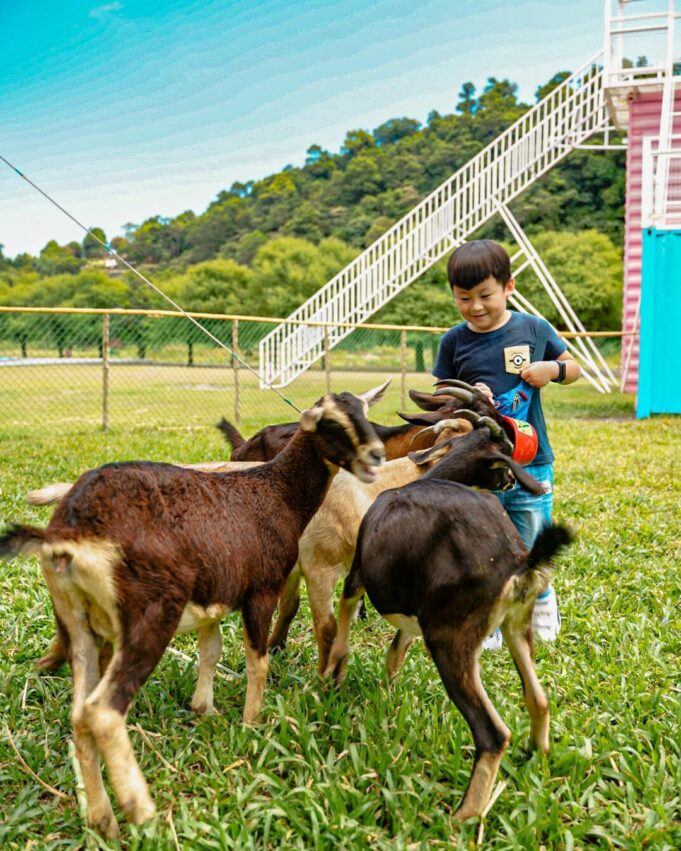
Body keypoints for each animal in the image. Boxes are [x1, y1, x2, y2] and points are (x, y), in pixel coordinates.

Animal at [322, 466, 572, 824]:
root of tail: (515, 561)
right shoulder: (415, 617)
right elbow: (395, 654)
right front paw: (388, 693)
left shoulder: (357, 576)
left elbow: (344, 629)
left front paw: (332, 675)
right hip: (514, 627)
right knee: (538, 699)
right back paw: (536, 755)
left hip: (449, 642)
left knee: (493, 735)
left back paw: (462, 817)